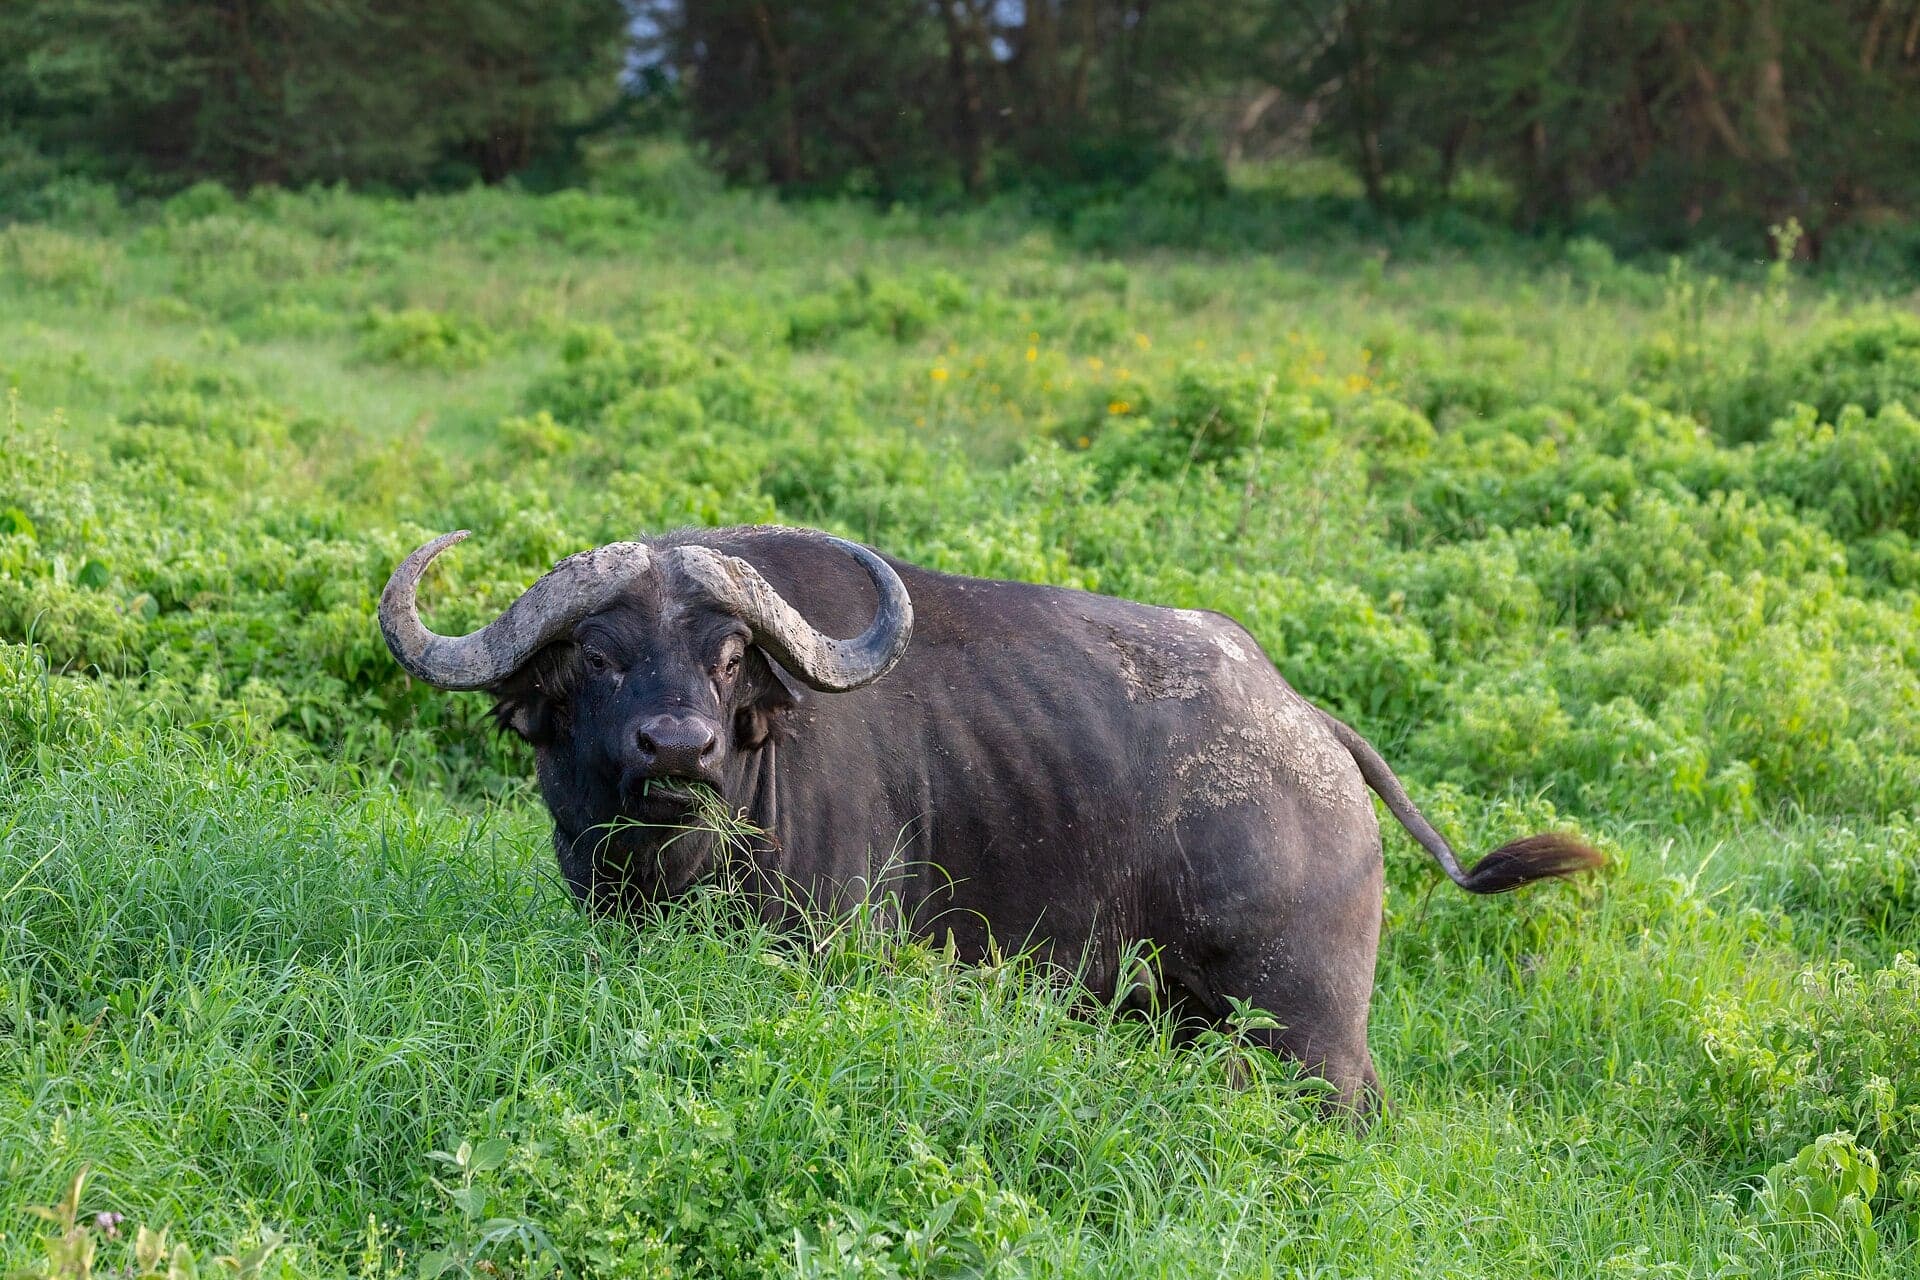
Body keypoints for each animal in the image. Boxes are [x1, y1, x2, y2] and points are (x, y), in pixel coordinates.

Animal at [381, 524, 1600, 1108]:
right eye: (596, 654)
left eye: (729, 656)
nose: (679, 746)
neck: (679, 863)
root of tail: (1312, 729)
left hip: (1309, 1023)